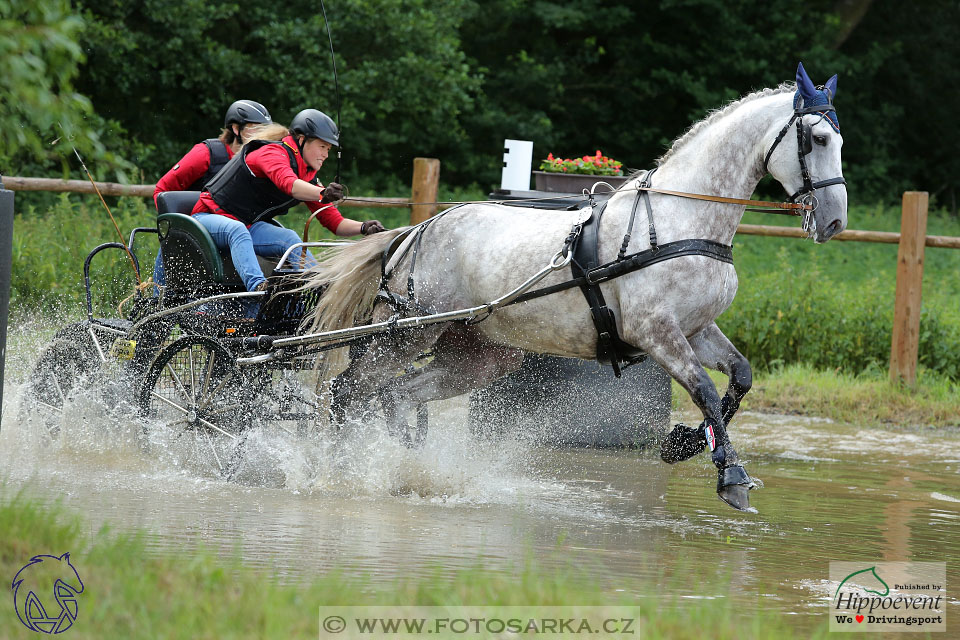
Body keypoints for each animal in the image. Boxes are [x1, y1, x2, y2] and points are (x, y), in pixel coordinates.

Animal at [302, 65, 848, 512]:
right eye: (818, 139)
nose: (835, 222)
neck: (680, 217)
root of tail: (414, 232)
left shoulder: (697, 328)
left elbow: (740, 379)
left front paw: (681, 444)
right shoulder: (657, 332)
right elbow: (707, 392)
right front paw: (731, 477)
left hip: (479, 355)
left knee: (395, 394)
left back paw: (403, 465)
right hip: (405, 335)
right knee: (347, 390)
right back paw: (339, 473)